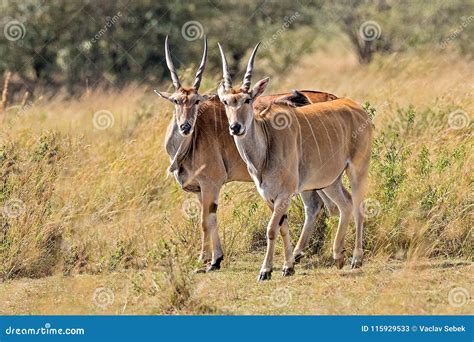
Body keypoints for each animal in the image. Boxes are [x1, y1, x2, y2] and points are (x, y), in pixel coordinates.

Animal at [155, 36, 336, 272]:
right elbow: (210, 219)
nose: (185, 126)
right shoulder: (200, 190)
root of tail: (332, 97)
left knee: (322, 206)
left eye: (196, 100)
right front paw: (215, 259)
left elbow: (205, 221)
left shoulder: (211, 183)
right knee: (317, 206)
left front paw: (206, 260)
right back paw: (296, 256)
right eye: (176, 100)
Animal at [217, 42, 372, 280]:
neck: (268, 140)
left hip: (357, 170)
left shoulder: (284, 194)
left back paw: (356, 258)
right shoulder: (270, 196)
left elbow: (272, 229)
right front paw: (287, 266)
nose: (236, 127)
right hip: (329, 181)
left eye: (247, 99)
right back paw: (338, 256)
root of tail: (358, 108)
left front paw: (266, 270)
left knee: (358, 207)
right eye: (226, 101)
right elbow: (282, 227)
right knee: (345, 204)